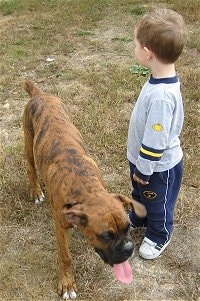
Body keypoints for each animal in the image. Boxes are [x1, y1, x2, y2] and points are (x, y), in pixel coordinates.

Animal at [22, 79, 146, 298]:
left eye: (128, 227)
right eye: (106, 235)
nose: (128, 248)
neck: (85, 188)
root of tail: (40, 94)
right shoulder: (61, 227)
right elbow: (65, 256)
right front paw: (67, 283)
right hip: (29, 142)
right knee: (30, 168)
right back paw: (36, 190)